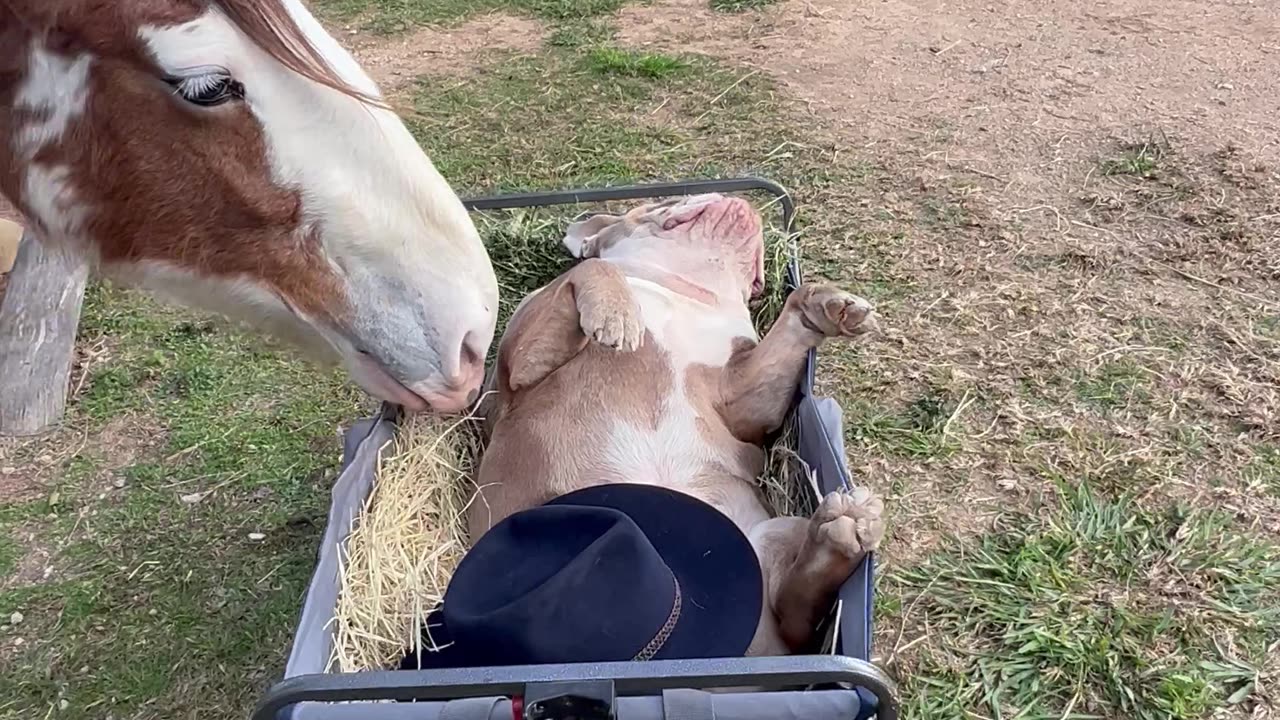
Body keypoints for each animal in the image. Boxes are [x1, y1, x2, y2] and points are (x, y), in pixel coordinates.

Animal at [476, 193, 885, 653]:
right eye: (665, 200)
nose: (736, 197)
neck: (681, 289)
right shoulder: (515, 370)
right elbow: (592, 268)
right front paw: (617, 313)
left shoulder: (742, 397)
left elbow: (792, 319)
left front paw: (828, 303)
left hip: (776, 534)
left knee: (797, 618)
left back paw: (843, 528)